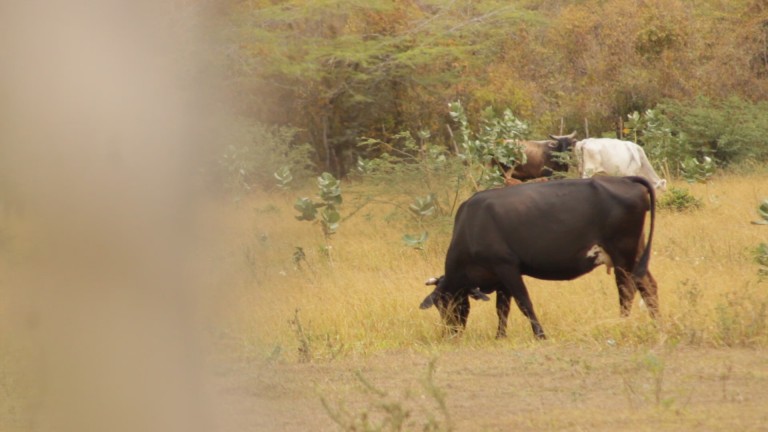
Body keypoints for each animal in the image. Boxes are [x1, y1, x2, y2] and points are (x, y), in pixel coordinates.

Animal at [420, 176, 660, 340]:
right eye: (439, 306)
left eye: (446, 303)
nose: (450, 333)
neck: (472, 225)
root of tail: (625, 178)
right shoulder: (501, 277)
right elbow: (502, 308)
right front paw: (500, 336)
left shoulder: (506, 266)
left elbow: (524, 303)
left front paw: (540, 334)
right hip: (635, 254)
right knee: (647, 285)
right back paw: (656, 322)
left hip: (622, 254)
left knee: (626, 289)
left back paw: (621, 323)